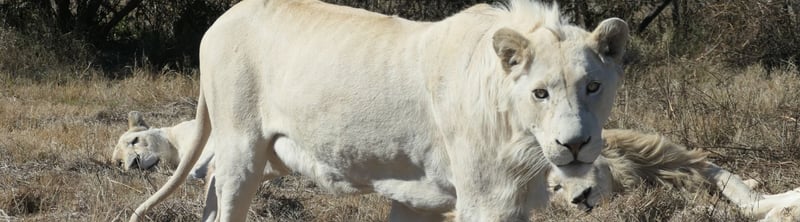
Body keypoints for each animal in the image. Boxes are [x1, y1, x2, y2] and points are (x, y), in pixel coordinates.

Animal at [128, 0, 632, 221]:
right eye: (540, 93)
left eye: (593, 86)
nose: (575, 144)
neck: (524, 143)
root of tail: (221, 18)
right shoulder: (489, 199)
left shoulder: (423, 196)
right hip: (242, 146)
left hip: (268, 155)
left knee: (211, 185)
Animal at [548, 129, 800, 221]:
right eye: (556, 188)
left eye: (577, 165)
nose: (579, 199)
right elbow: (744, 208)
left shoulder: (693, 164)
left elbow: (745, 195)